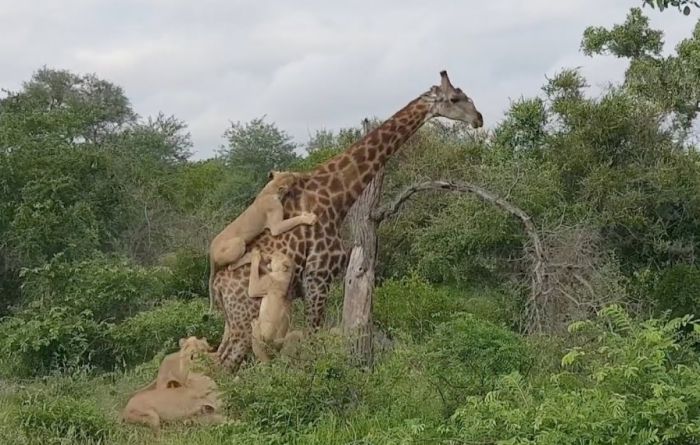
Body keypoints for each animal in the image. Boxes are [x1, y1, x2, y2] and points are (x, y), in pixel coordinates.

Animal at [208, 170, 318, 312]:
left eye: (289, 172)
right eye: (291, 179)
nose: (297, 175)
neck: (270, 189)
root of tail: (210, 251)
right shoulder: (276, 226)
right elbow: (293, 220)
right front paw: (309, 218)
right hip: (239, 242)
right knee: (231, 266)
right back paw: (250, 256)